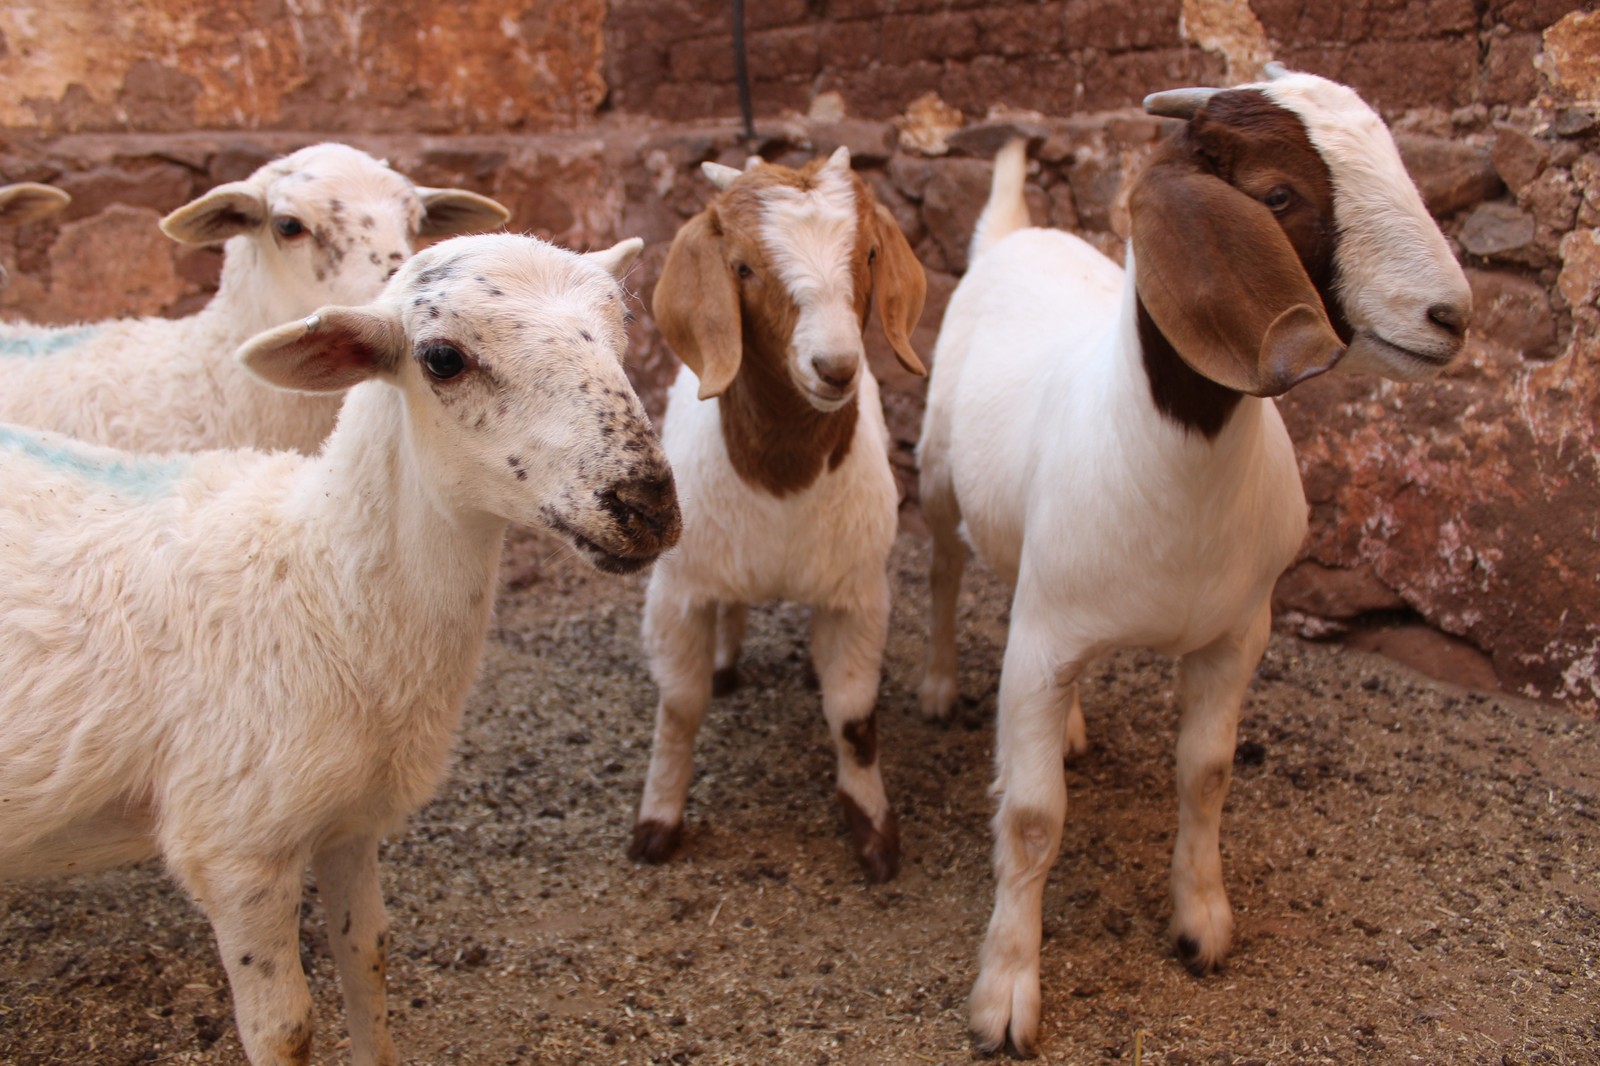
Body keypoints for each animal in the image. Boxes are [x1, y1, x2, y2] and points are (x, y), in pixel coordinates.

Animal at [0, 233, 680, 1066]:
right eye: (442, 358)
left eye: (621, 326)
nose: (649, 504)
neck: (320, 585)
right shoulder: (236, 853)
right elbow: (285, 1027)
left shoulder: (352, 820)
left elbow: (369, 956)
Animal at [632, 146, 927, 882]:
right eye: (742, 266)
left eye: (871, 253)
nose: (836, 367)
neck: (782, 483)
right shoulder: (678, 591)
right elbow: (679, 708)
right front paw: (658, 824)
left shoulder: (858, 594)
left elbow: (853, 715)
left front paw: (874, 832)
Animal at [916, 67, 1472, 1056]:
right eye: (1279, 194)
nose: (1452, 314)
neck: (1173, 457)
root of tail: (1016, 237)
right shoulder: (1043, 646)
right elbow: (1032, 816)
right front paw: (1007, 993)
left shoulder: (1234, 632)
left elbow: (1206, 774)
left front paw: (1201, 922)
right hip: (941, 471)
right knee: (945, 568)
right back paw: (941, 686)